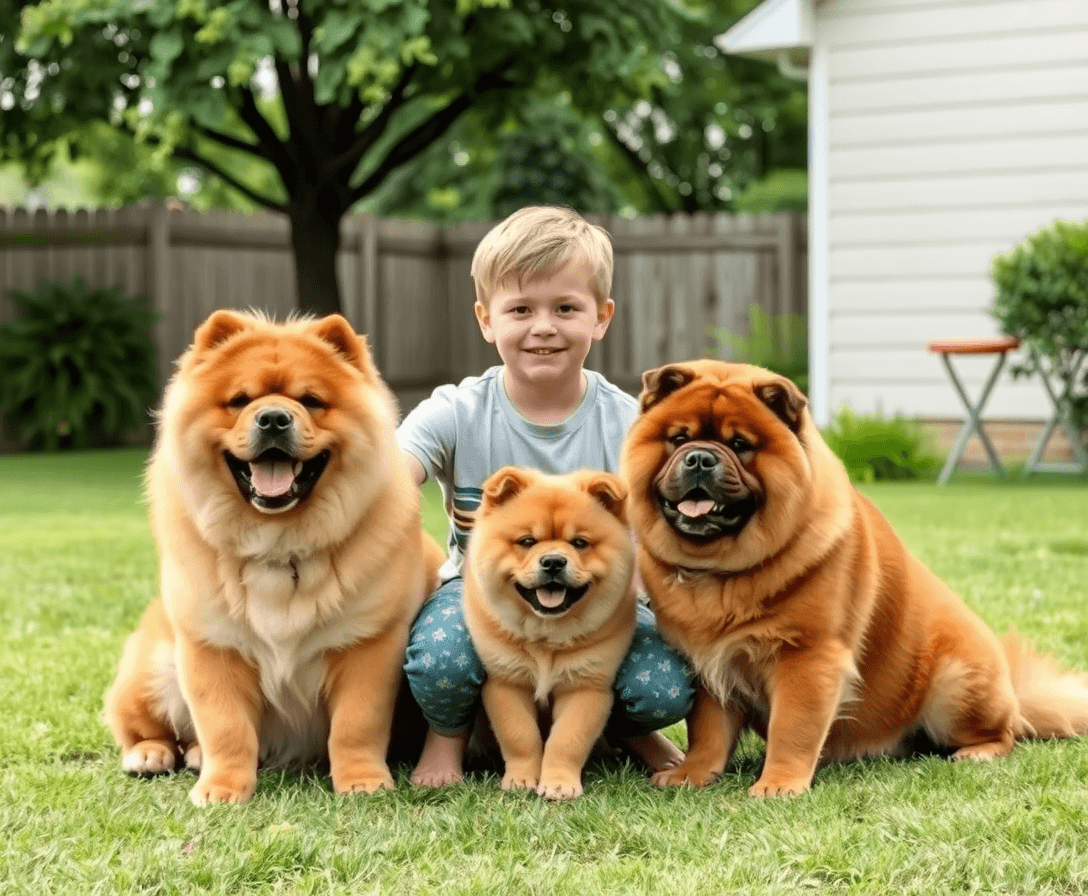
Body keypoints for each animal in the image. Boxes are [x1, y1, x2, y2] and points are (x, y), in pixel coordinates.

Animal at [102, 308, 441, 804]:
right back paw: (152, 755)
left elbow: (356, 725)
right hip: (153, 667)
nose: (275, 418)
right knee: (145, 725)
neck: (281, 545)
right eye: (240, 400)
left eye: (312, 401)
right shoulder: (213, 648)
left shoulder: (367, 646)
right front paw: (222, 790)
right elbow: (226, 728)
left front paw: (362, 781)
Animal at [461, 465, 635, 800]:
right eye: (527, 541)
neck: (545, 638)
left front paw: (558, 784)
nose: (553, 561)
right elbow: (520, 735)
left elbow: (567, 739)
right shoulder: (506, 681)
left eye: (579, 543)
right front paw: (521, 780)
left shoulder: (586, 686)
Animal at [622, 358, 1088, 795]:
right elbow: (709, 733)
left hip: (955, 688)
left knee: (1007, 731)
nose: (701, 457)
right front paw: (692, 774)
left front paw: (779, 784)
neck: (718, 573)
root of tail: (1011, 688)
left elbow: (792, 728)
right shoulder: (708, 664)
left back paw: (977, 751)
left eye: (741, 445)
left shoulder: (808, 656)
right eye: (678, 438)